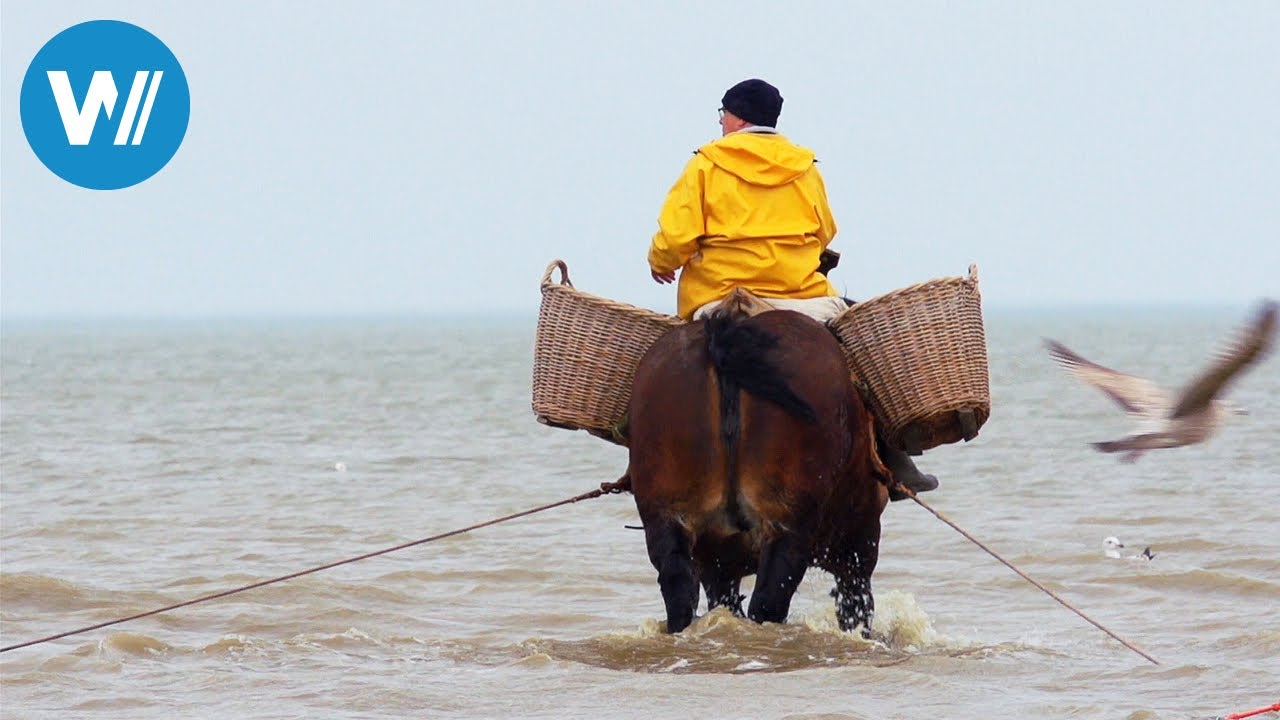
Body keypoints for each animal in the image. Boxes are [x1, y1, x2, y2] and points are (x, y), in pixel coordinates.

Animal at [622, 297, 885, 632]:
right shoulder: (858, 545)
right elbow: (857, 609)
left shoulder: (717, 563)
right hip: (789, 526)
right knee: (769, 601)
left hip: (666, 516)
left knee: (679, 592)